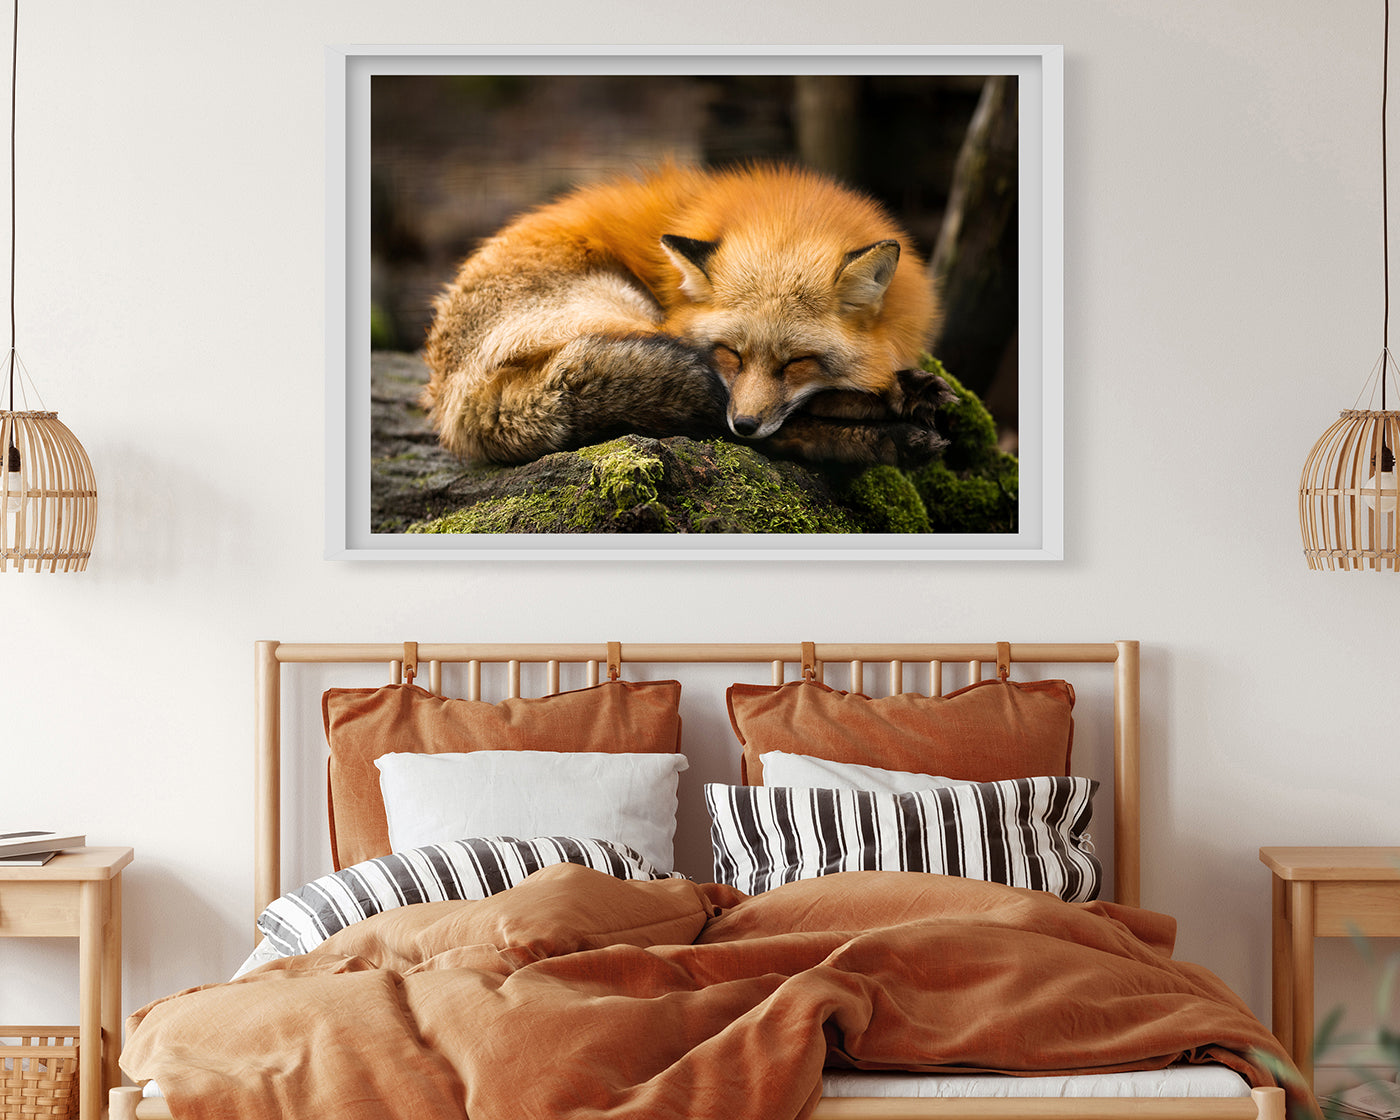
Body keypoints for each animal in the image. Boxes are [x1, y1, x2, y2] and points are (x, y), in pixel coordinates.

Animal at [422, 162, 953, 467]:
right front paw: (895, 398)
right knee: (758, 431)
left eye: (797, 363)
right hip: (629, 317)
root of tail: (452, 399)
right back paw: (894, 432)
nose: (745, 423)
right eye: (731, 354)